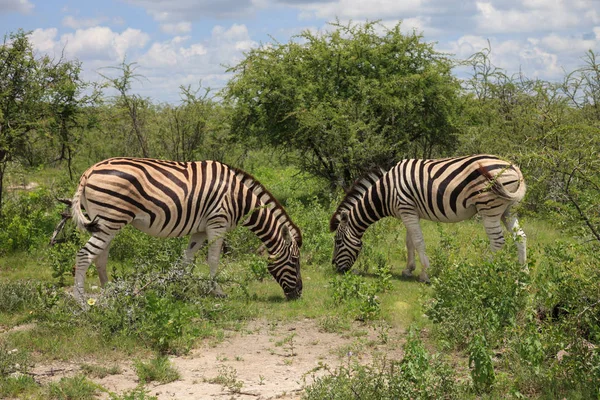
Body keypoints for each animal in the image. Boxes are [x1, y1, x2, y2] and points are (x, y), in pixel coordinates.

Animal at [69, 158, 304, 302]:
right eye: (294, 261)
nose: (299, 294)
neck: (240, 198)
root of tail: (89, 171)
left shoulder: (200, 229)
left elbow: (186, 260)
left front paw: (176, 288)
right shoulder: (217, 222)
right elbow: (213, 260)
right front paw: (217, 291)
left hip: (108, 223)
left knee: (100, 257)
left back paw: (111, 293)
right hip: (110, 220)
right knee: (84, 255)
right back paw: (81, 301)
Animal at [330, 153, 528, 282]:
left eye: (338, 242)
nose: (335, 268)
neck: (386, 192)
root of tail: (514, 167)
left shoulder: (407, 209)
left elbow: (418, 241)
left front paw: (425, 274)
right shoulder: (408, 211)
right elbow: (409, 242)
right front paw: (408, 269)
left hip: (489, 207)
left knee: (498, 241)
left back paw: (481, 272)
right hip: (508, 210)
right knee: (521, 237)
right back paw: (523, 274)